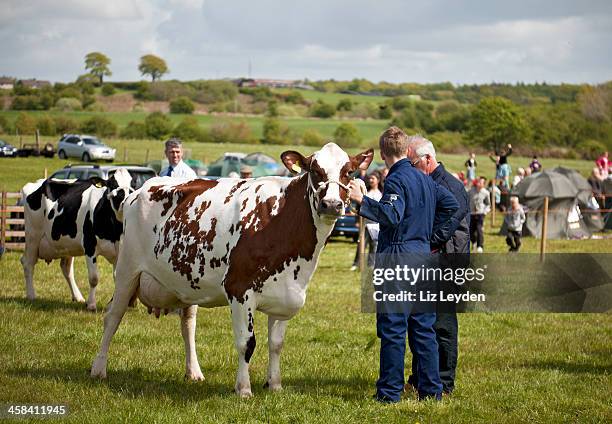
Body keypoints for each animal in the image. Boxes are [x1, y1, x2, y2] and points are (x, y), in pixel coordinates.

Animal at [21, 167, 133, 310]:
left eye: (132, 186)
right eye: (112, 185)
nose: (124, 201)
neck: (114, 230)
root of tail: (38, 182)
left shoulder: (120, 250)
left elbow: (118, 277)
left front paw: (113, 305)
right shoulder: (89, 247)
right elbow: (94, 278)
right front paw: (91, 304)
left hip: (66, 245)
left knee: (66, 269)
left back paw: (78, 296)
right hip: (33, 236)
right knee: (28, 263)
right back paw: (31, 295)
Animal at [92, 143, 372, 398]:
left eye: (349, 172)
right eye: (315, 170)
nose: (331, 204)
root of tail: (139, 190)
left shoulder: (286, 293)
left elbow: (276, 344)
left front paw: (275, 385)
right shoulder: (239, 289)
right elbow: (246, 343)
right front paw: (244, 389)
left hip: (185, 281)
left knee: (187, 325)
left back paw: (194, 372)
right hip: (127, 270)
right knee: (112, 316)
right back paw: (98, 369)